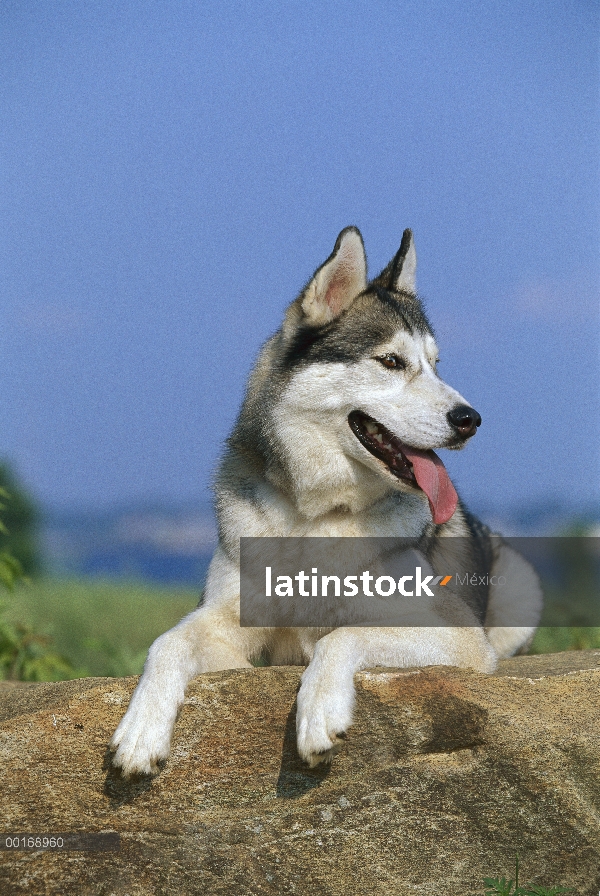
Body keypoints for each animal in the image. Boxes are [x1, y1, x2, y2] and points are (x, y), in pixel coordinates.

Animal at [109, 228, 544, 772]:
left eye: (435, 365)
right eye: (391, 361)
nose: (471, 419)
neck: (317, 516)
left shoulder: (460, 635)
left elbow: (341, 635)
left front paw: (319, 710)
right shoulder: (229, 622)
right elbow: (167, 642)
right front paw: (141, 731)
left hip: (521, 585)